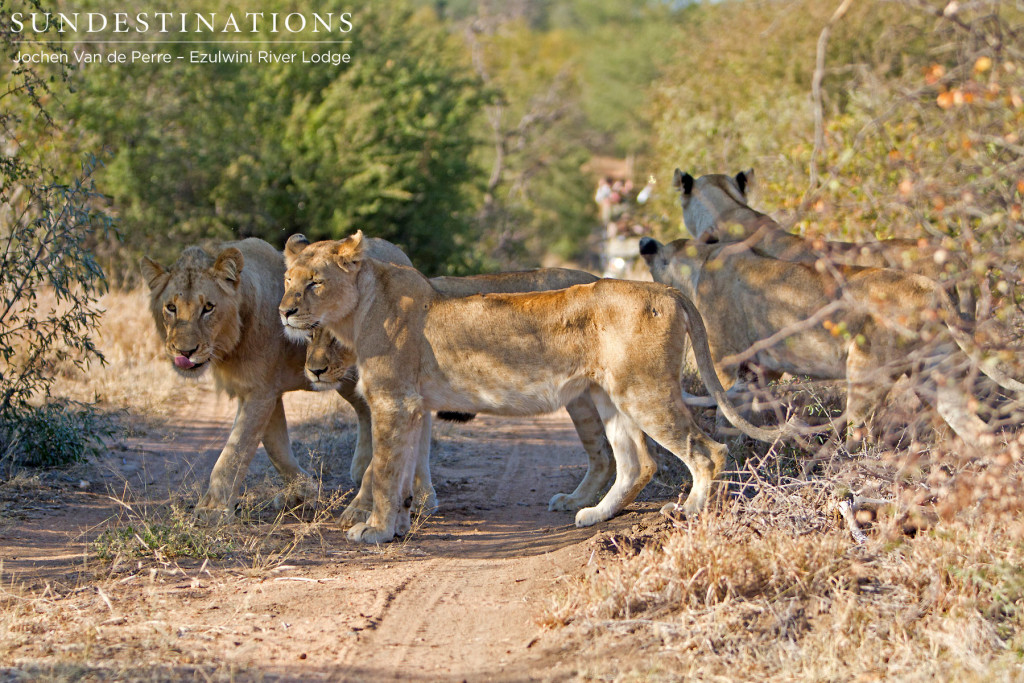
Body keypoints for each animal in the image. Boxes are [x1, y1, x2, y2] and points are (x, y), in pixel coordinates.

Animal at [141, 236, 415, 518]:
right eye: (171, 308)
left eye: (208, 308)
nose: (185, 351)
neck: (231, 340)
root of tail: (399, 253)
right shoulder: (258, 391)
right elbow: (275, 446)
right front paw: (302, 491)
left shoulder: (261, 392)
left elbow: (237, 449)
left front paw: (212, 508)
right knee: (365, 410)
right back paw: (363, 471)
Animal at [280, 232, 782, 540]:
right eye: (287, 280)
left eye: (315, 283)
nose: (285, 311)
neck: (362, 307)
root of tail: (668, 292)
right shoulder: (414, 406)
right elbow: (403, 468)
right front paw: (400, 523)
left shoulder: (394, 401)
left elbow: (382, 469)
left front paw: (374, 528)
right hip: (610, 397)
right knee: (636, 463)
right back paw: (593, 513)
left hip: (644, 392)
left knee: (708, 451)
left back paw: (689, 512)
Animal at [634, 237, 1019, 450]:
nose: (644, 246)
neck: (703, 259)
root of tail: (932, 289)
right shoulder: (762, 369)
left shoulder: (727, 360)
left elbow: (726, 418)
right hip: (934, 373)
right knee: (973, 427)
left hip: (864, 370)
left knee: (862, 434)